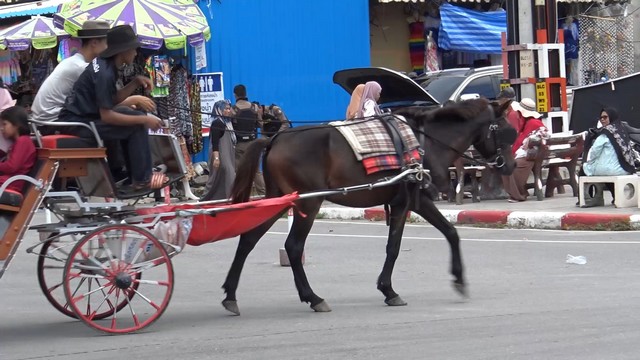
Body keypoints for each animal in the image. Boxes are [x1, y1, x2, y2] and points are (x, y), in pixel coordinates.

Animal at [220, 98, 516, 316]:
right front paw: (389, 290)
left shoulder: (417, 201)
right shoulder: (406, 202)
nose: (510, 166)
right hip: (309, 201)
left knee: (249, 238)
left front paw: (458, 279)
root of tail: (275, 139)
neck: (427, 142)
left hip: (280, 199)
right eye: (505, 131)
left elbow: (451, 233)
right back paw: (313, 297)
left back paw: (231, 295)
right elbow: (394, 247)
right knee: (293, 247)